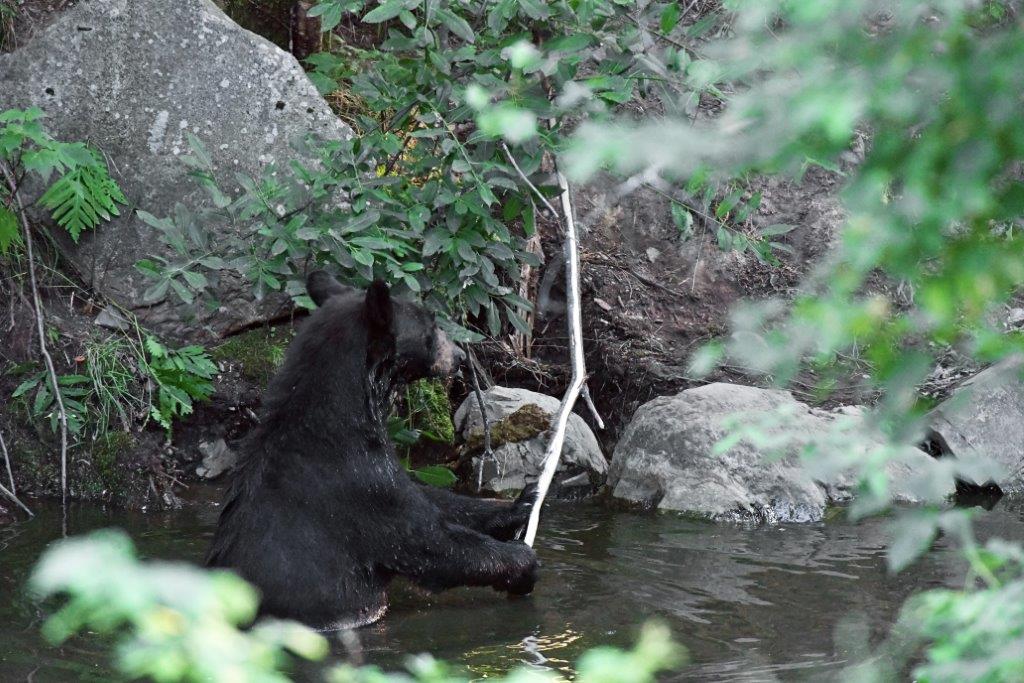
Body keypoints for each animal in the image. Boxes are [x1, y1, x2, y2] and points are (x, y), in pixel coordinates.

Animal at [206, 271, 539, 630]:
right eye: (432, 325)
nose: (461, 356)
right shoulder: (358, 487)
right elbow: (429, 542)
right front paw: (521, 560)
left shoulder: (381, 475)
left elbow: (433, 498)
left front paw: (520, 503)